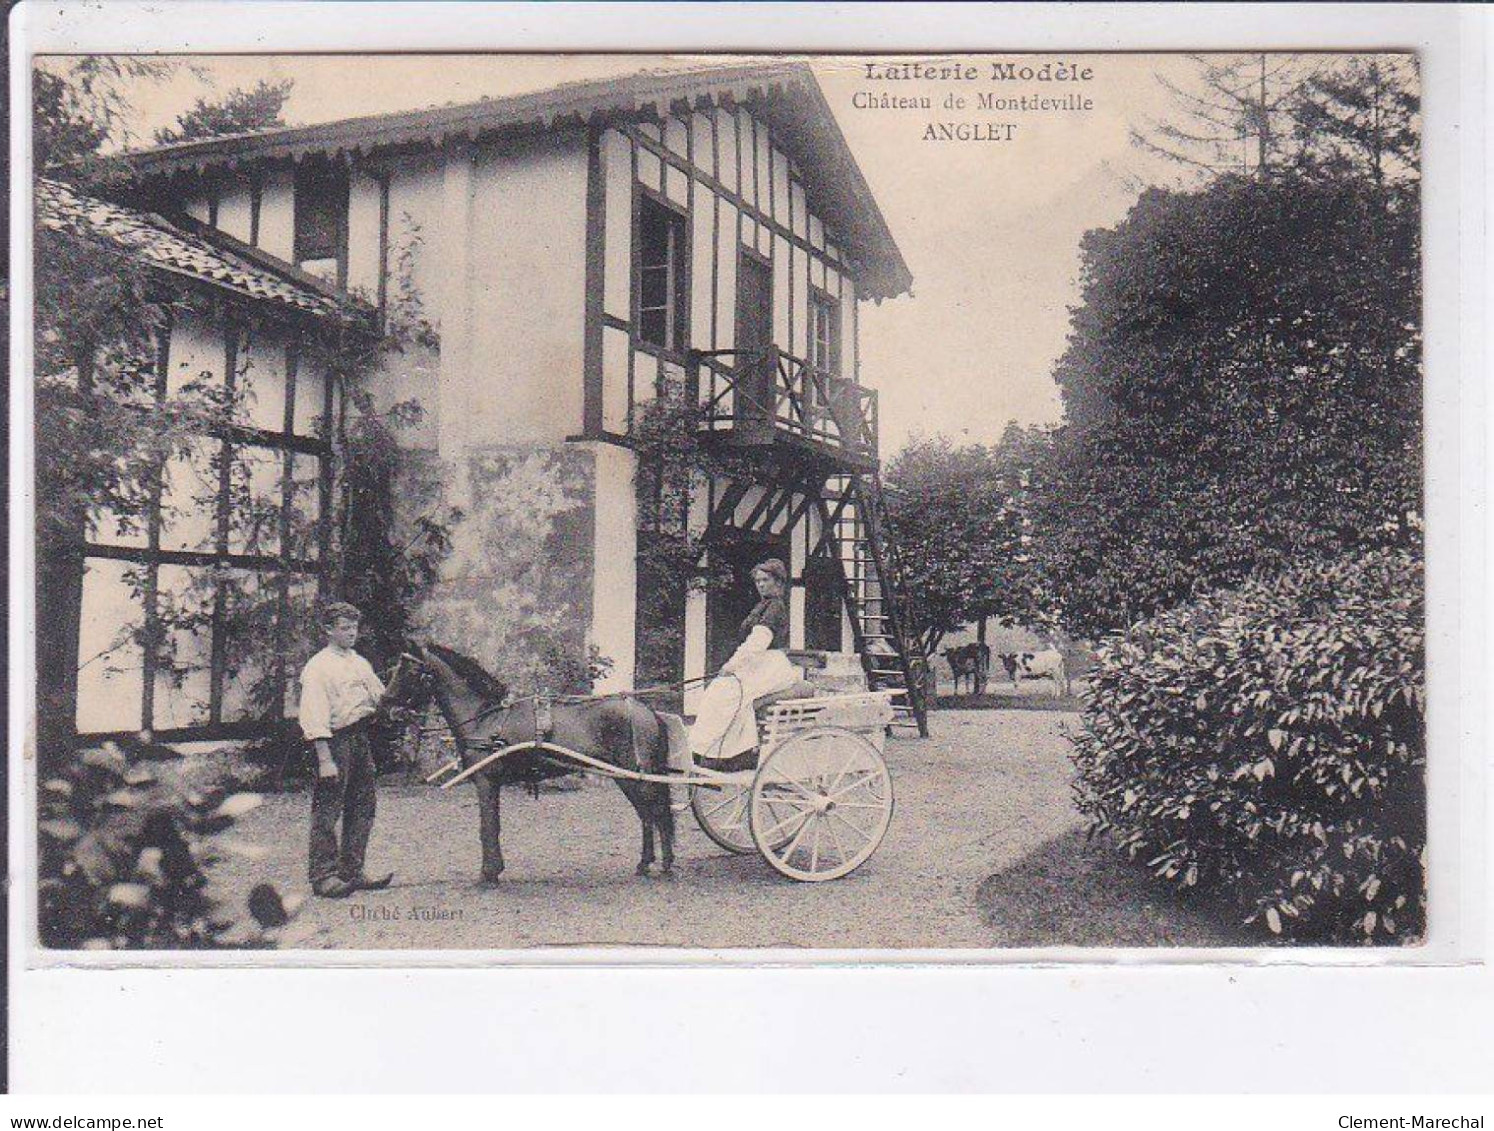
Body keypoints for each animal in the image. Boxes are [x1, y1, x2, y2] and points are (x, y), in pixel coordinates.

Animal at [379, 639, 678, 878]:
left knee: (657, 813)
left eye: (409, 671)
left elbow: (487, 826)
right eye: (394, 670)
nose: (385, 705)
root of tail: (648, 712)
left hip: (635, 776)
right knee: (647, 815)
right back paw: (646, 864)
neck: (484, 718)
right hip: (624, 777)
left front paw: (489, 873)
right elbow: (493, 825)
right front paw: (494, 869)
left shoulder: (486, 781)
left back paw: (664, 865)